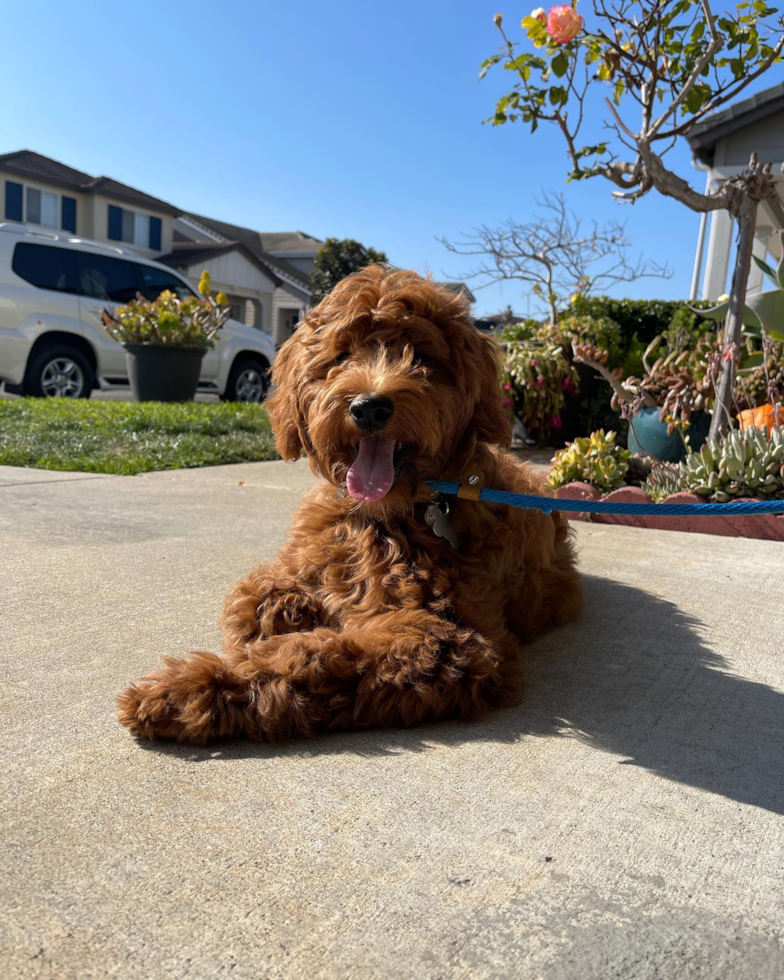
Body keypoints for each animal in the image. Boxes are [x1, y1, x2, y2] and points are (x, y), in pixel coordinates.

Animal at [118, 266, 580, 744]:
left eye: (422, 358)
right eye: (341, 355)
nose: (369, 407)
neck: (384, 515)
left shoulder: (451, 638)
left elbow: (311, 658)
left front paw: (183, 691)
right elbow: (257, 595)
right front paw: (287, 614)